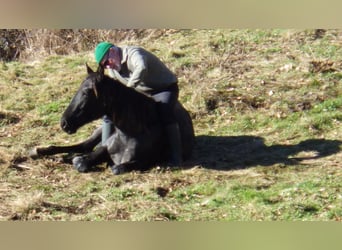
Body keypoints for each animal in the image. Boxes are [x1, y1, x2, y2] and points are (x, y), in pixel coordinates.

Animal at [29, 64, 195, 174]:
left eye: (86, 92)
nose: (64, 123)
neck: (131, 133)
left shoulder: (146, 161)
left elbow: (116, 168)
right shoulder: (104, 148)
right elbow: (84, 161)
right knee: (83, 146)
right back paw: (40, 151)